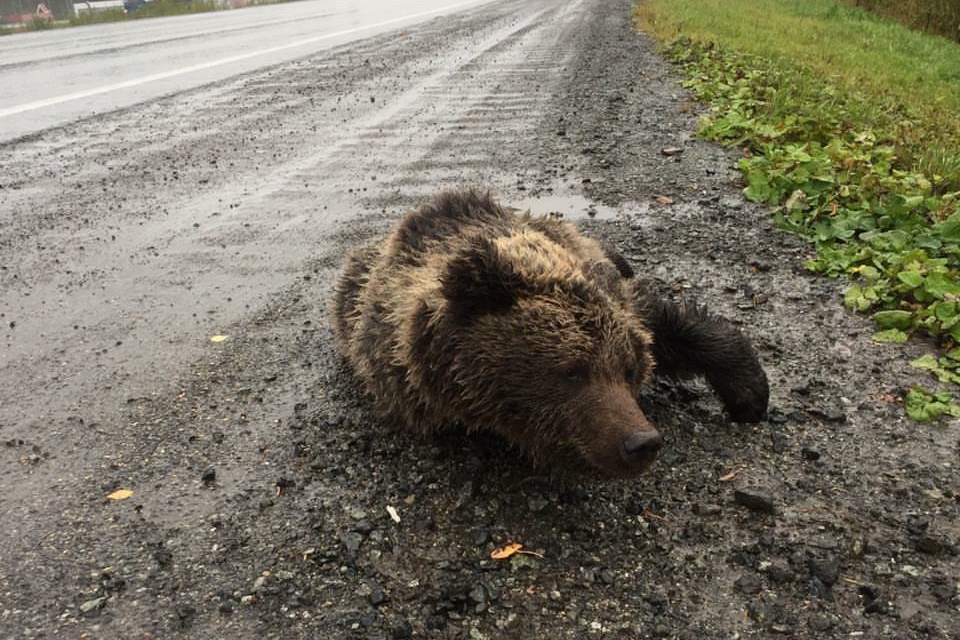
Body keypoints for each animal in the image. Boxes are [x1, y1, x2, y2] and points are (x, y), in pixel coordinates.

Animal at [334, 188, 768, 478]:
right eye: (572, 371)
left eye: (628, 370)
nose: (642, 442)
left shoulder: (616, 295)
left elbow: (674, 327)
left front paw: (750, 395)